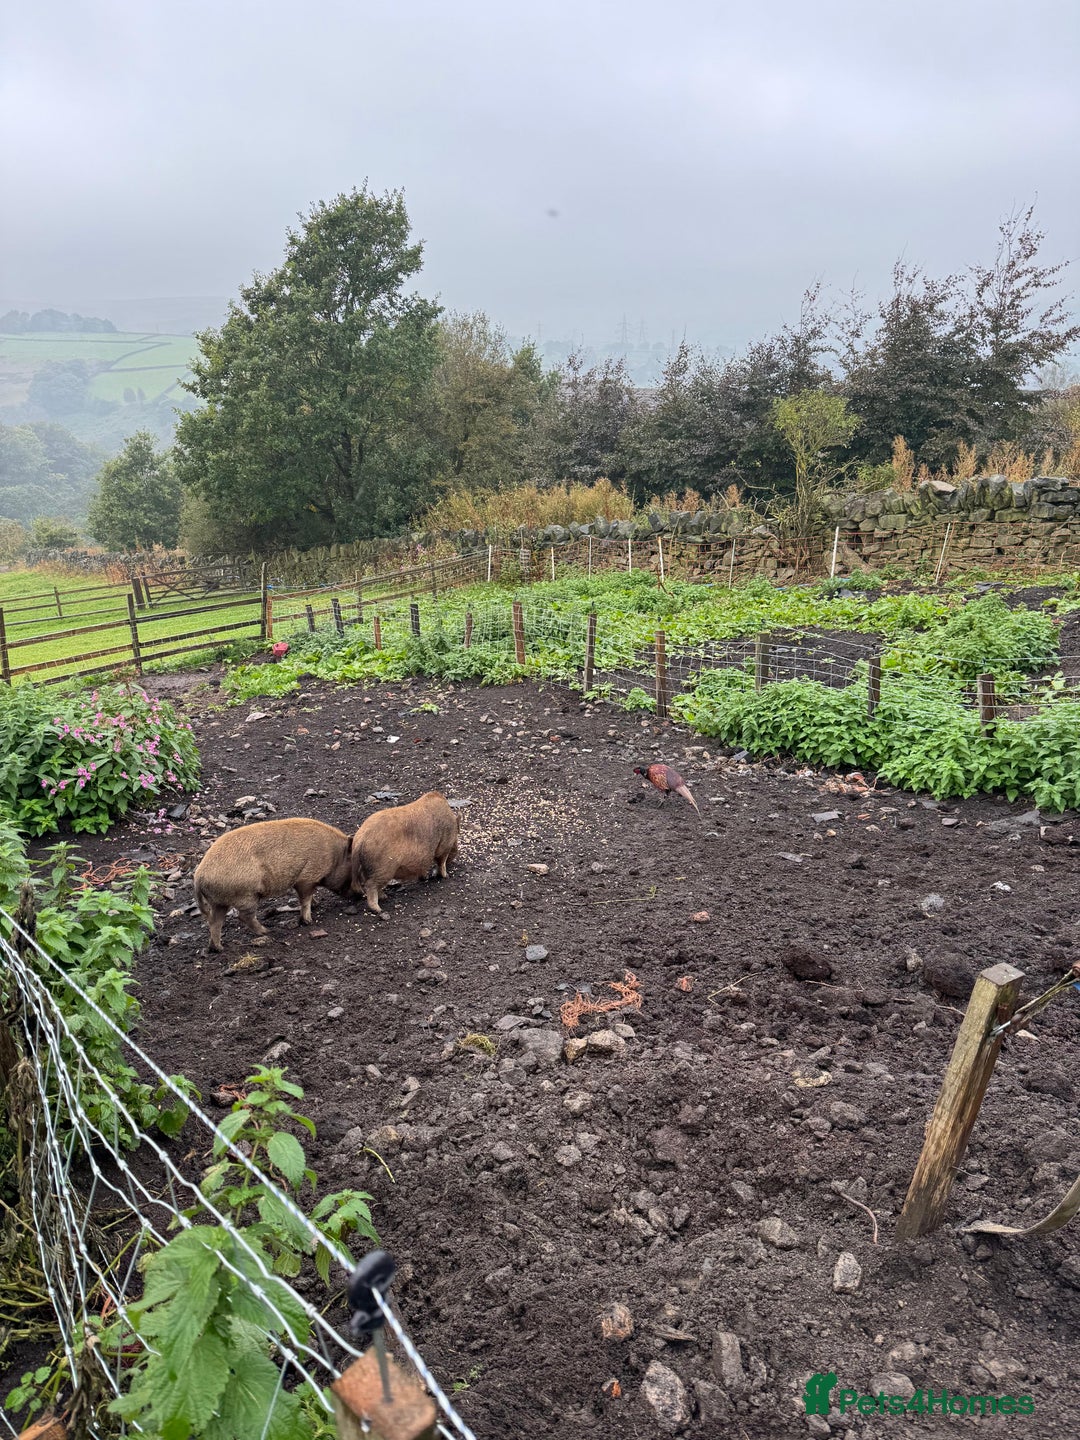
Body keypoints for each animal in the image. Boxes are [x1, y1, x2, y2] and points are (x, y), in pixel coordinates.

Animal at [193, 818, 353, 952]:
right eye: (352, 874)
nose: (355, 897)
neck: (334, 856)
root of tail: (198, 876)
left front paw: (316, 905)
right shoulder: (306, 877)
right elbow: (305, 898)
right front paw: (309, 921)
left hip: (218, 902)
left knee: (214, 921)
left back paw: (218, 948)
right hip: (245, 896)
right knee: (243, 917)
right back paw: (268, 932)